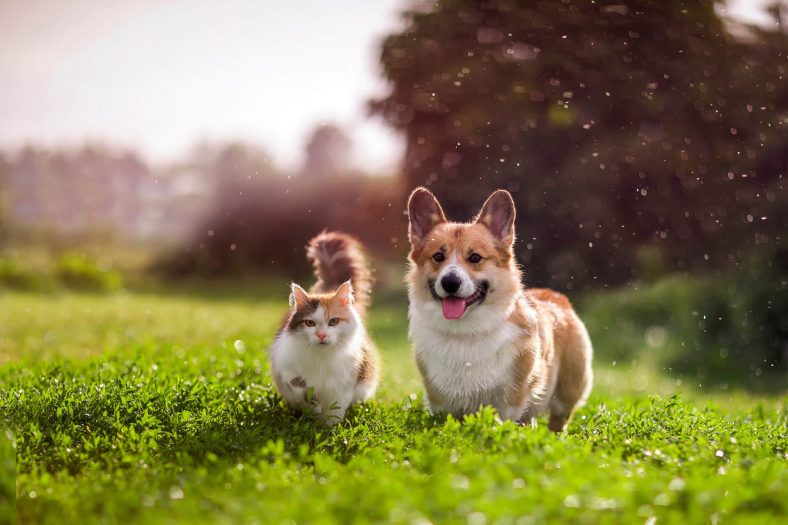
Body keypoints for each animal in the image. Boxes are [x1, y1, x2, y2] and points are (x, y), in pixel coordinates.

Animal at [268, 231, 378, 424]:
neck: (321, 358)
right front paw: (313, 410)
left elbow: (335, 411)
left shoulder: (343, 384)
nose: (321, 335)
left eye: (333, 322)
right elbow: (301, 388)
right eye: (310, 323)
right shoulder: (285, 367)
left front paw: (329, 427)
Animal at [406, 188, 592, 430]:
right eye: (438, 256)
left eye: (475, 257)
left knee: (558, 421)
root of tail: (557, 297)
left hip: (566, 392)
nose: (450, 282)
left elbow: (505, 421)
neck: (465, 331)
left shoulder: (511, 398)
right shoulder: (439, 400)